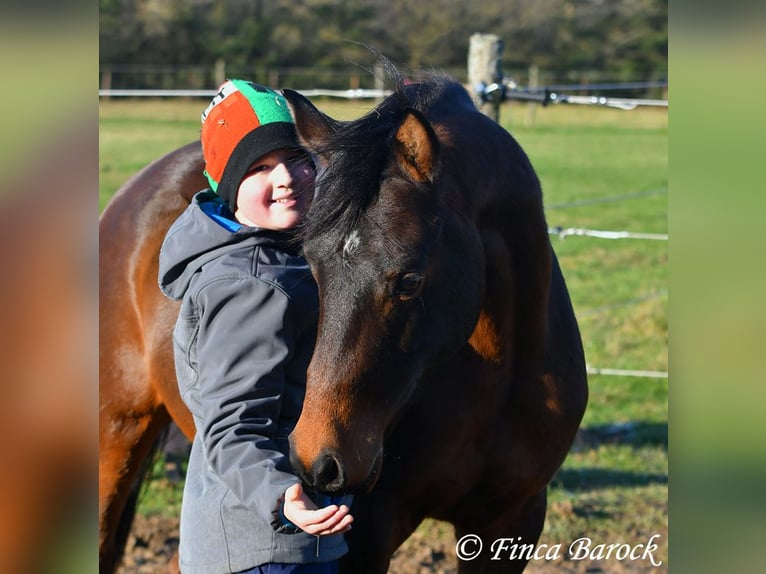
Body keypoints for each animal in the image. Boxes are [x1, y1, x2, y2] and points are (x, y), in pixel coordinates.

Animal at [97, 70, 588, 572]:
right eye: (311, 266)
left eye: (410, 279)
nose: (317, 459)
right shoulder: (367, 535)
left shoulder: (509, 523)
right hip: (116, 434)